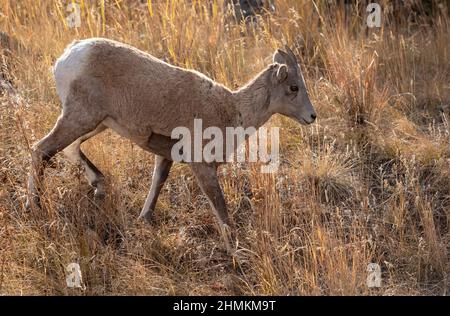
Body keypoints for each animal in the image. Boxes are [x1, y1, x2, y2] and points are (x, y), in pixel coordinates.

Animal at [26, 37, 316, 252]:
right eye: (293, 87)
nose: (311, 116)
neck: (232, 111)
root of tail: (69, 55)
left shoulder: (166, 157)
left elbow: (157, 183)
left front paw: (144, 219)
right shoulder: (203, 168)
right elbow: (220, 208)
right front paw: (235, 249)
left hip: (97, 123)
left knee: (69, 150)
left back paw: (99, 185)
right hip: (81, 118)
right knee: (41, 150)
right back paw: (34, 207)